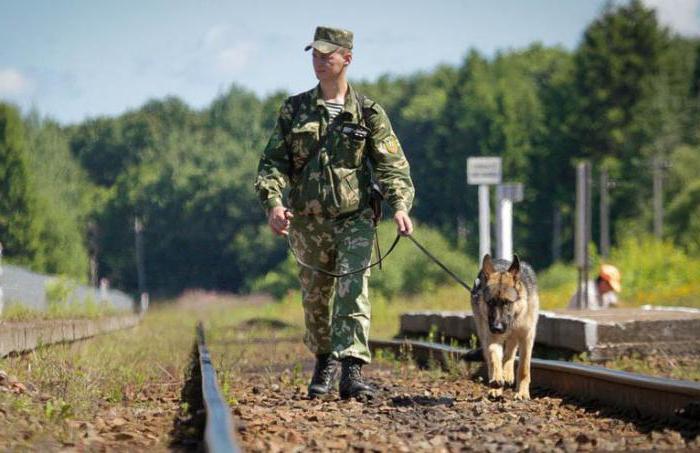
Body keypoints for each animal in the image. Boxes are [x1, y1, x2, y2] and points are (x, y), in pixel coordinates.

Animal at [470, 254, 540, 400]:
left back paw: (507, 374)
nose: (497, 328)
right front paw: (497, 379)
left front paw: (522, 393)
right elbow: (495, 358)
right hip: (484, 334)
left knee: (510, 353)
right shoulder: (492, 338)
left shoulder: (527, 337)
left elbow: (523, 368)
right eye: (490, 302)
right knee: (493, 359)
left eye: (507, 302)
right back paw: (496, 385)